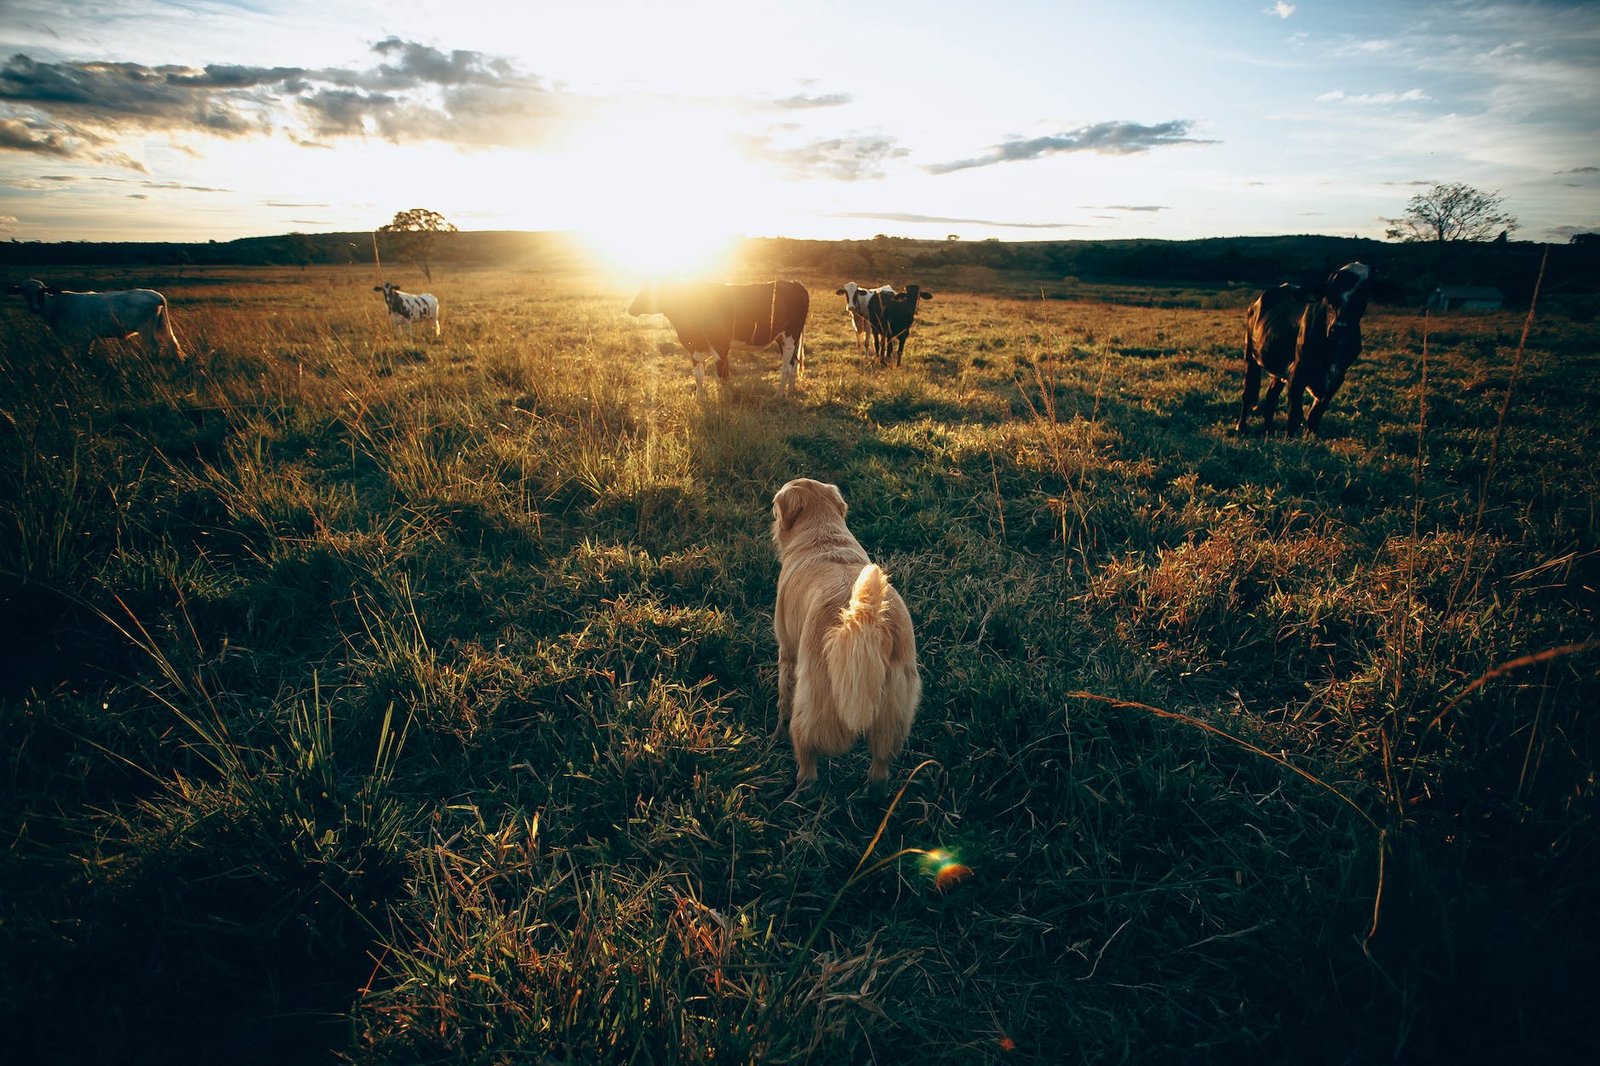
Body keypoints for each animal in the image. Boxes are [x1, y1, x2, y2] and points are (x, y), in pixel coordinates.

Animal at [7, 273, 183, 356]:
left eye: (41, 292)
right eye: (25, 293)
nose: (34, 309)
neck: (57, 307)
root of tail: (154, 294)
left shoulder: (85, 337)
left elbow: (85, 356)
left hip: (146, 330)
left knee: (155, 347)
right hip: (161, 326)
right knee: (172, 344)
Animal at [627, 280, 812, 396]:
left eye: (648, 291)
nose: (630, 309)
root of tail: (794, 283)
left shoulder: (721, 346)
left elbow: (723, 376)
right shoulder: (694, 348)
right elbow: (699, 376)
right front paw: (701, 400)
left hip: (791, 334)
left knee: (786, 366)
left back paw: (779, 395)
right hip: (783, 338)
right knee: (793, 363)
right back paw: (791, 392)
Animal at [768, 476, 921, 784]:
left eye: (776, 507)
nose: (771, 512)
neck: (824, 535)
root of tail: (863, 621)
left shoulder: (787, 652)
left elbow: (783, 701)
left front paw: (776, 735)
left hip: (811, 706)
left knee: (808, 765)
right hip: (893, 717)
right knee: (879, 771)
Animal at [1235, 259, 1376, 435]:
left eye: (1362, 294)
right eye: (1330, 293)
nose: (1340, 328)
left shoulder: (1336, 379)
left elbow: (1314, 417)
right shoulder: (1298, 373)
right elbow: (1295, 417)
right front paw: (1290, 439)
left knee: (1271, 397)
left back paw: (1268, 430)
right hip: (1250, 355)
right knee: (1248, 393)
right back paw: (1241, 427)